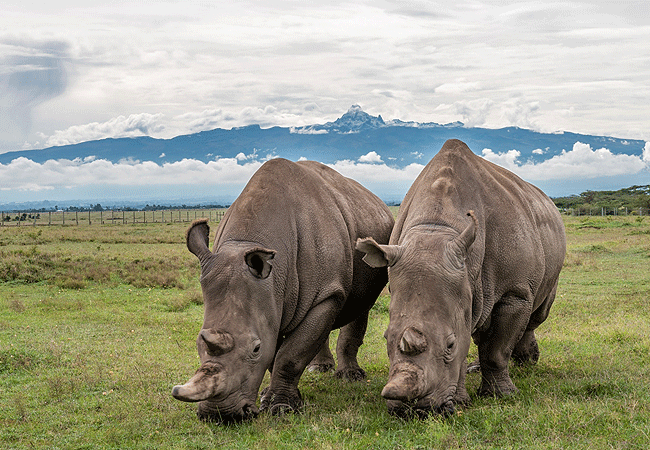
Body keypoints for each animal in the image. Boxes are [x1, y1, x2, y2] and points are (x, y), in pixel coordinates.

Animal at [172, 158, 394, 422]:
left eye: (255, 348)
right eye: (198, 343)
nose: (220, 415)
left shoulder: (326, 293)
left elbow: (290, 354)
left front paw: (282, 408)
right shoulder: (270, 299)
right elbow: (277, 351)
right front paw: (269, 397)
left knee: (360, 306)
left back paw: (350, 377)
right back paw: (319, 369)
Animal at [357, 139, 565, 417]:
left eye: (450, 345)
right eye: (386, 339)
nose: (412, 410)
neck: (436, 228)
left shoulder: (515, 292)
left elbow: (496, 350)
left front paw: (502, 395)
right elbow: (469, 337)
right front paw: (461, 401)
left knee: (536, 314)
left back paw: (526, 363)